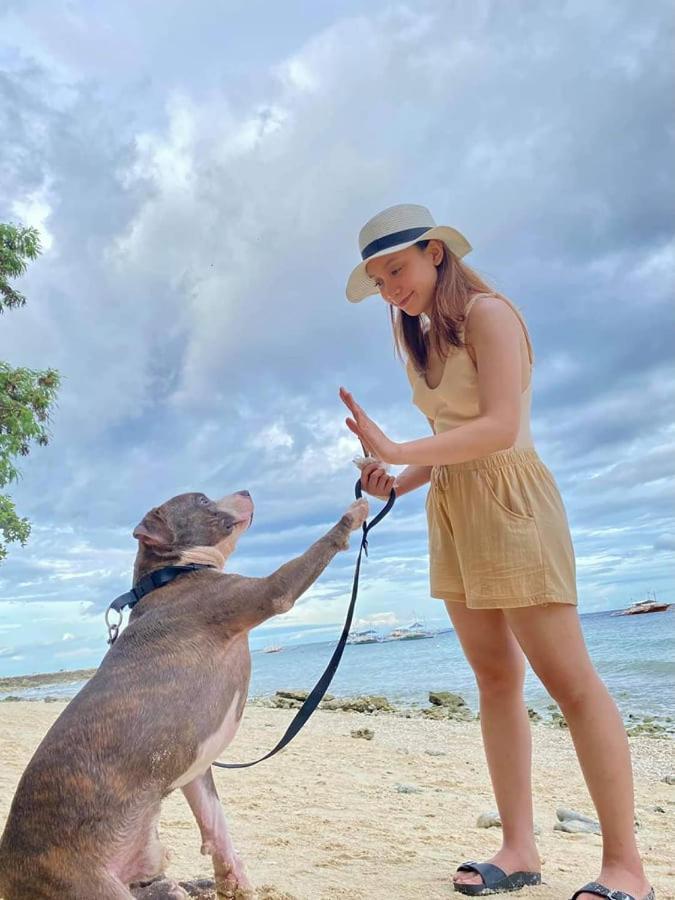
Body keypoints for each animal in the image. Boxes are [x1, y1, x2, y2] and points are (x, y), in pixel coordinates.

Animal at [0, 488, 370, 896]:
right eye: (203, 500)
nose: (246, 490)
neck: (169, 575)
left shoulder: (196, 771)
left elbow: (216, 823)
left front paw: (233, 880)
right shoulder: (268, 591)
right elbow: (311, 555)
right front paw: (354, 512)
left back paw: (174, 889)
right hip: (87, 884)